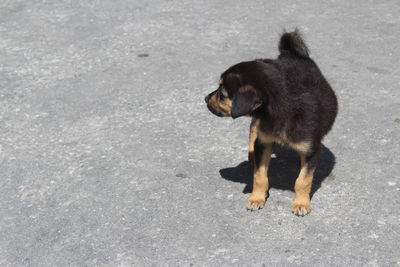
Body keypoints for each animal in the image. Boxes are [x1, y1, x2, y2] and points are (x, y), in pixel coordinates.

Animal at [206, 30, 338, 217]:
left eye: (222, 94)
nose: (205, 99)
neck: (280, 109)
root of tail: (290, 54)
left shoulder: (312, 149)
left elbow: (303, 180)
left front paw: (301, 203)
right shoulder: (264, 142)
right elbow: (259, 176)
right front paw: (256, 198)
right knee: (253, 130)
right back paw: (251, 155)